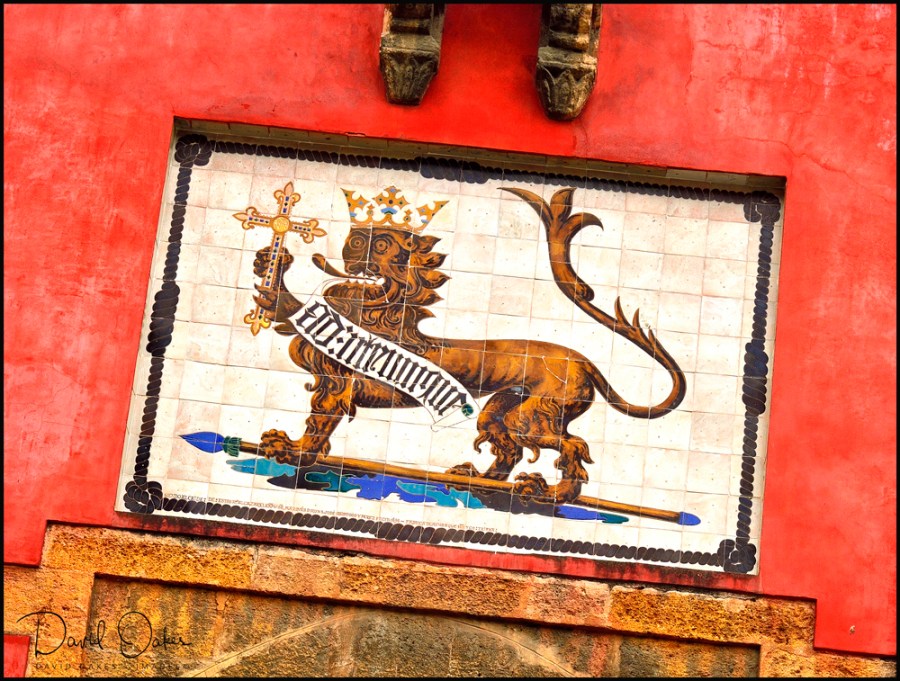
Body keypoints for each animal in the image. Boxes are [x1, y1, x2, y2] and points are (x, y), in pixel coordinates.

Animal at [251, 187, 686, 506]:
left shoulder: (338, 384)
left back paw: (546, 492)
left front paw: (291, 451)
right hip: (501, 408)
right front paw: (270, 267)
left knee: (572, 448)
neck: (377, 315)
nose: (351, 243)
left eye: (384, 245)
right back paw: (481, 480)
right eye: (359, 239)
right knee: (510, 449)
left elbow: (319, 422)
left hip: (536, 414)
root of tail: (585, 361)